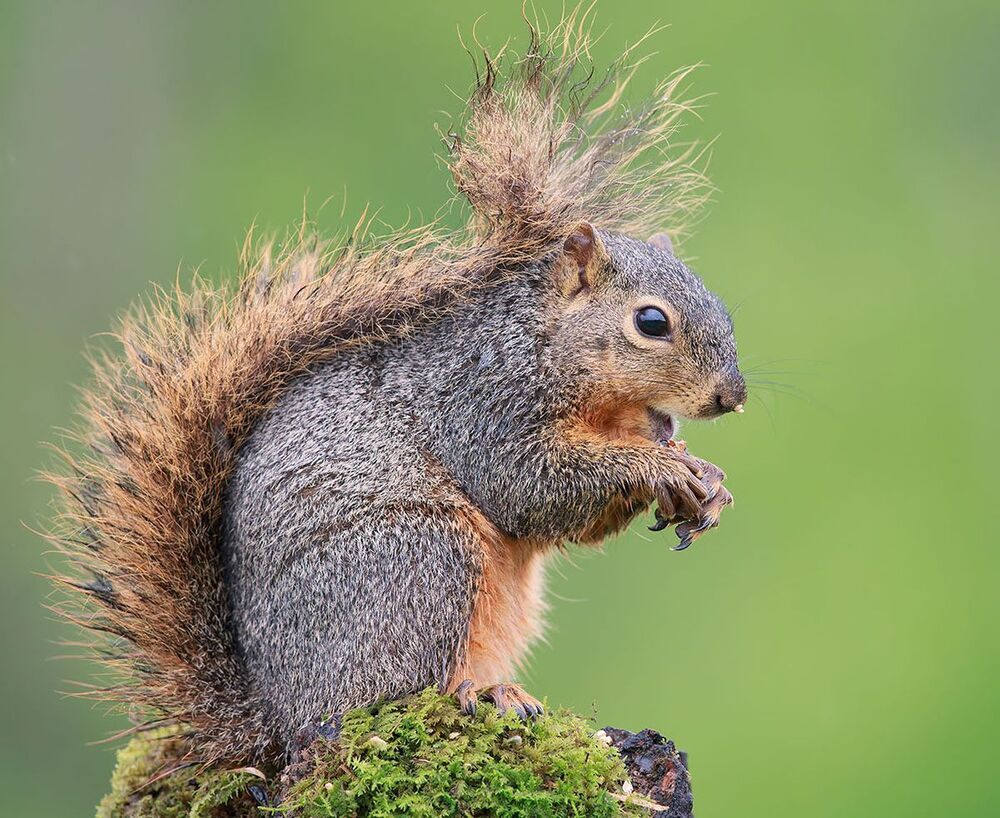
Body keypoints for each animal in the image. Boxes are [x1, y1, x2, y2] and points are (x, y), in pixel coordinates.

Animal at [45, 13, 745, 770]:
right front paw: (660, 470)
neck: (588, 388)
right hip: (420, 559)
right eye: (652, 323)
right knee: (397, 690)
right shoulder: (482, 401)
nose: (731, 397)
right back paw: (482, 693)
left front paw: (705, 480)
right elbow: (527, 487)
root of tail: (276, 719)